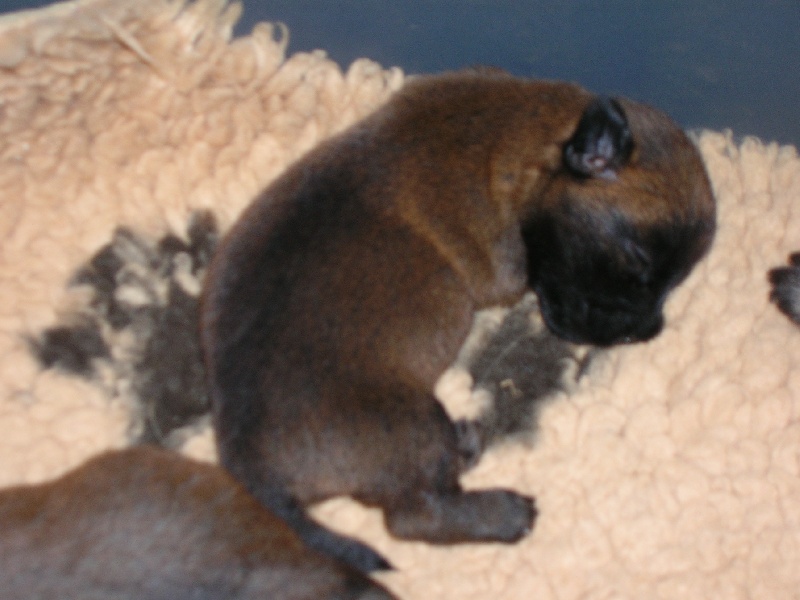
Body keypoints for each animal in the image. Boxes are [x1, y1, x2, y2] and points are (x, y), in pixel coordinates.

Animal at [200, 69, 716, 572]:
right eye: (637, 260)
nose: (649, 332)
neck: (521, 140)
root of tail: (252, 468)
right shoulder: (509, 267)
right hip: (413, 425)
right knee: (414, 515)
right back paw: (500, 505)